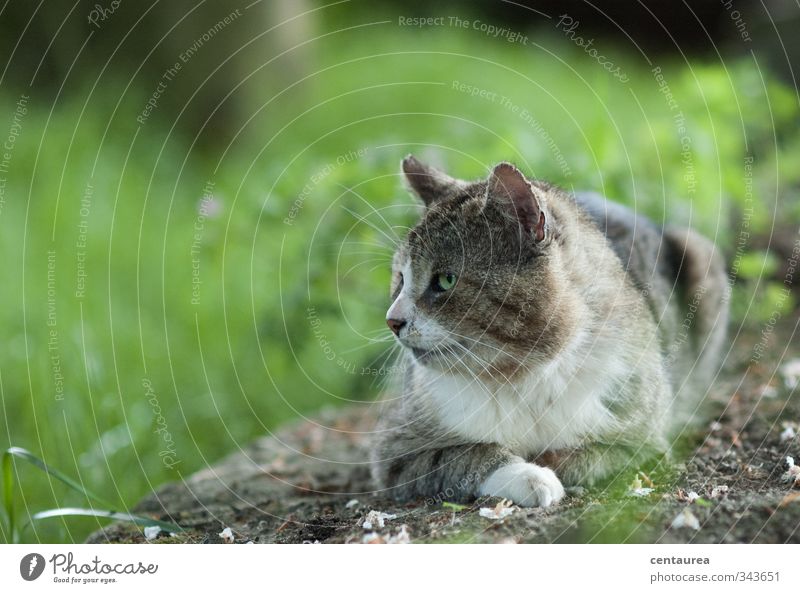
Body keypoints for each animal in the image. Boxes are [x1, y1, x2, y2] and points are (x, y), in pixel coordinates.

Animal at [370, 155, 732, 506]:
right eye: (400, 278)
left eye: (445, 280)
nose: (392, 320)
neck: (518, 375)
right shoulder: (395, 451)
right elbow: (466, 455)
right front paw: (527, 475)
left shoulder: (646, 443)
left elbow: (590, 457)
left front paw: (551, 463)